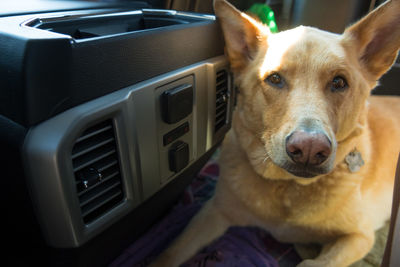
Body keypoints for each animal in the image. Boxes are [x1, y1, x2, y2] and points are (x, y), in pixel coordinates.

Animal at [151, 0, 400, 267]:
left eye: (339, 82)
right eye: (275, 79)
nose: (309, 150)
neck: (288, 187)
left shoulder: (359, 236)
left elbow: (314, 263)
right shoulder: (215, 211)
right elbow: (169, 253)